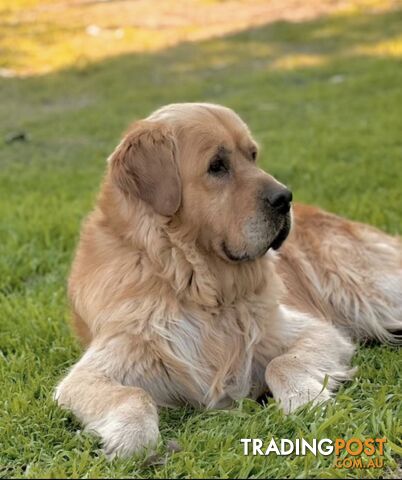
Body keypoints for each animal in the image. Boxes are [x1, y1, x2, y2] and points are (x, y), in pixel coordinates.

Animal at [54, 102, 402, 458]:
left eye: (253, 155)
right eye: (217, 166)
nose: (285, 197)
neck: (199, 286)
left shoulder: (315, 332)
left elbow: (281, 363)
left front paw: (306, 400)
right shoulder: (94, 370)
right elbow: (133, 394)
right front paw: (129, 438)